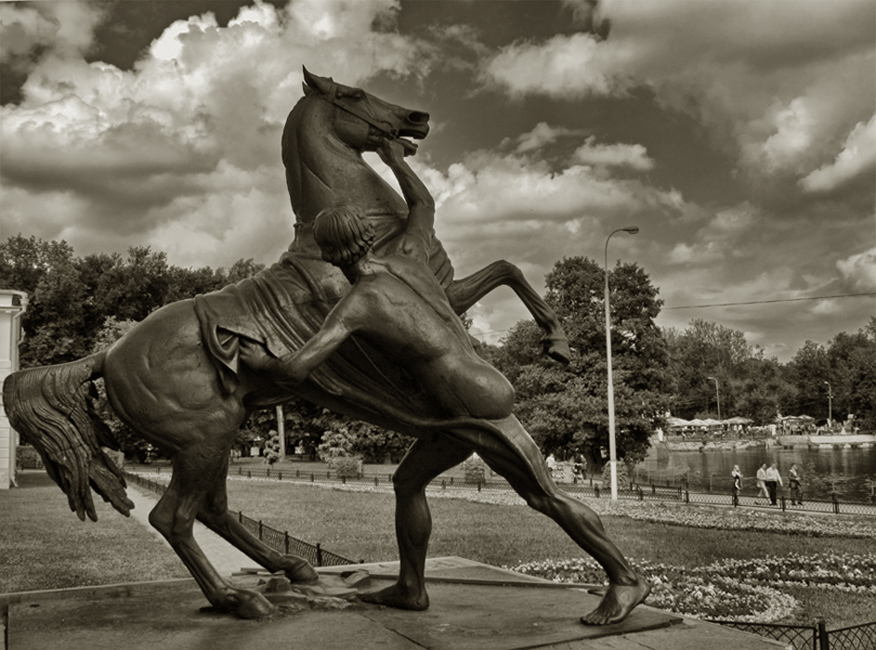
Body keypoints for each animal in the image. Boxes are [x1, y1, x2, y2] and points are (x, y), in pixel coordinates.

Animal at [5, 68, 652, 620]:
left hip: (213, 435)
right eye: (356, 94)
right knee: (174, 517)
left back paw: (294, 571)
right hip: (204, 438)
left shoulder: (445, 289)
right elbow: (499, 274)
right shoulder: (410, 293)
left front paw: (557, 341)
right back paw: (242, 599)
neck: (358, 224)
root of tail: (107, 354)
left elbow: (506, 268)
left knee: (211, 509)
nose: (416, 117)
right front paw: (555, 341)